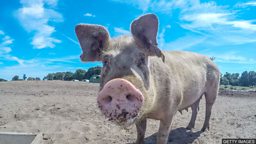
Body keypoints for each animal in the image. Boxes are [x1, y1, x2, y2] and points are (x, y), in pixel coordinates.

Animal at [74, 13, 220, 144]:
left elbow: (162, 136)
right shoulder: (141, 116)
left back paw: (203, 130)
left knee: (209, 109)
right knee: (195, 108)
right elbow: (141, 132)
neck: (151, 111)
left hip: (213, 89)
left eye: (142, 58)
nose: (118, 85)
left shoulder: (171, 110)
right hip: (196, 94)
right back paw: (189, 127)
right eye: (105, 61)